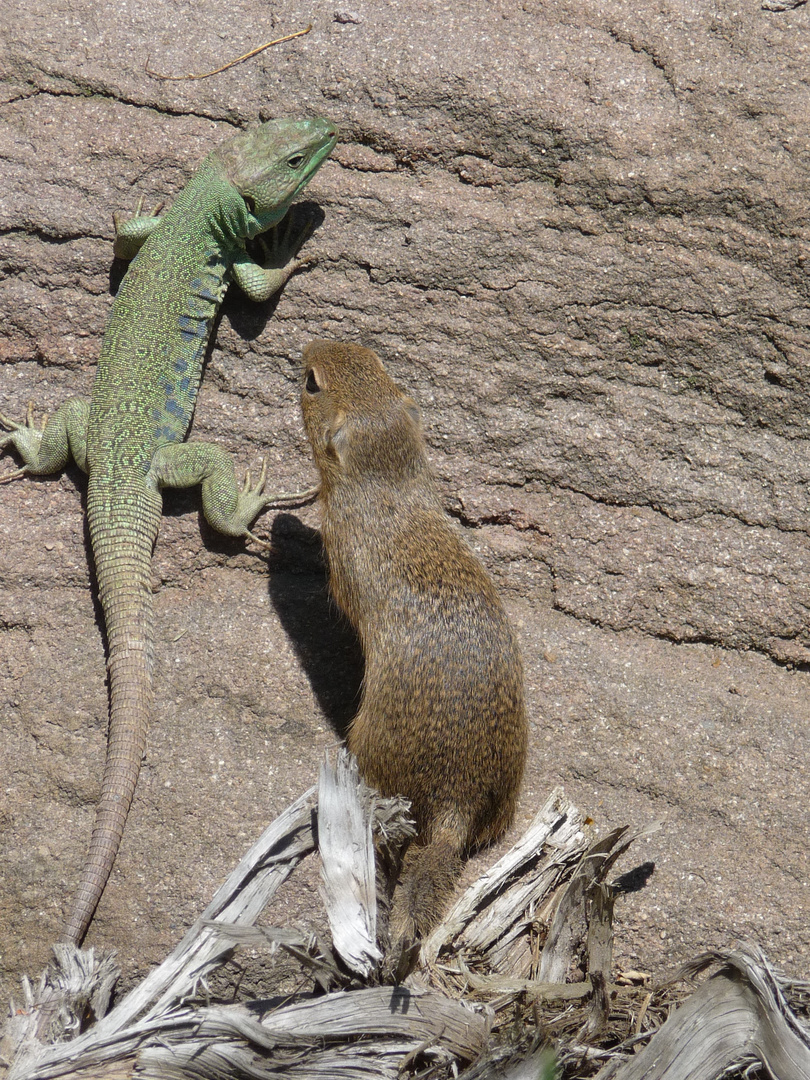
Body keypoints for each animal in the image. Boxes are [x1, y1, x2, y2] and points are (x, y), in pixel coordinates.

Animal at [302, 341, 529, 941]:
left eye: (312, 382)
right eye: (375, 358)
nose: (308, 344)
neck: (391, 484)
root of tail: (457, 806)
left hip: (372, 746)